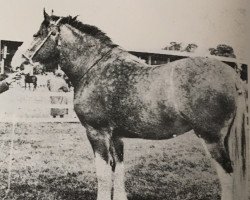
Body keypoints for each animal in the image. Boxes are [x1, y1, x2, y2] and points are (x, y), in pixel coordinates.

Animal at [20, 9, 248, 200]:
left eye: (38, 34)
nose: (21, 61)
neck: (94, 68)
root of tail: (233, 76)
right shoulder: (116, 136)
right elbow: (118, 169)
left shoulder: (96, 132)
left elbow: (103, 173)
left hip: (211, 139)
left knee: (227, 177)